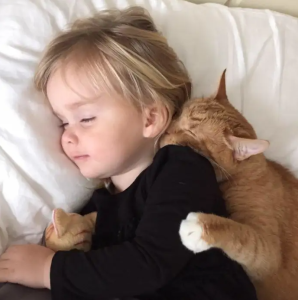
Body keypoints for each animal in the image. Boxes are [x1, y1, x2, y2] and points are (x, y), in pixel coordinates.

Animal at [161, 71, 298, 300]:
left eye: (192, 134)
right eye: (179, 115)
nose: (164, 133)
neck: (242, 175)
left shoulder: (268, 254)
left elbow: (241, 234)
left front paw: (199, 228)